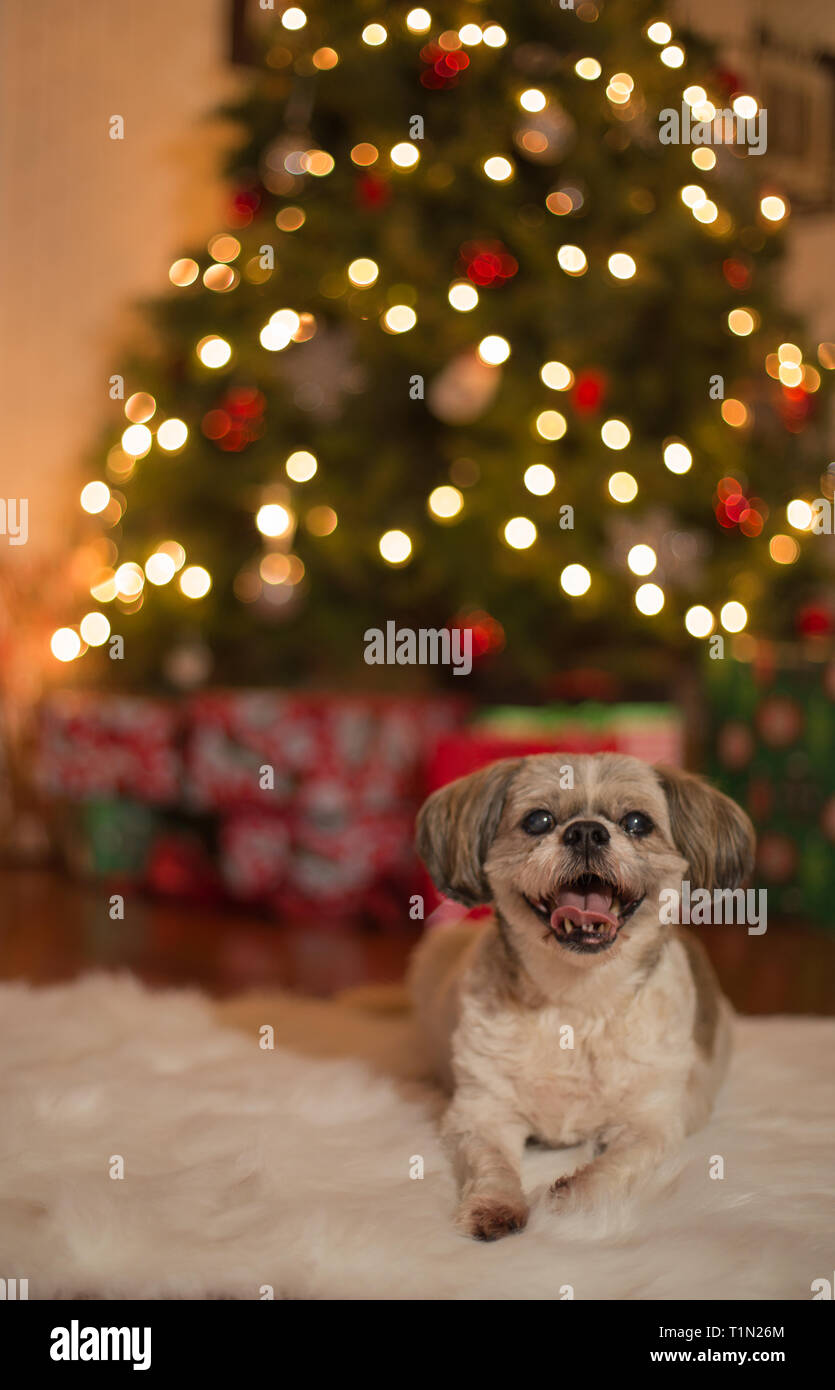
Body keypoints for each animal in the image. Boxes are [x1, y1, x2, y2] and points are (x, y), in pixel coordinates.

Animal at [411, 756, 755, 1245]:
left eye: (637, 823)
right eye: (538, 821)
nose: (588, 831)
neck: (576, 1001)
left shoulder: (652, 1121)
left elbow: (616, 1166)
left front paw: (572, 1200)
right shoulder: (480, 1113)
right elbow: (491, 1163)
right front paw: (494, 1205)